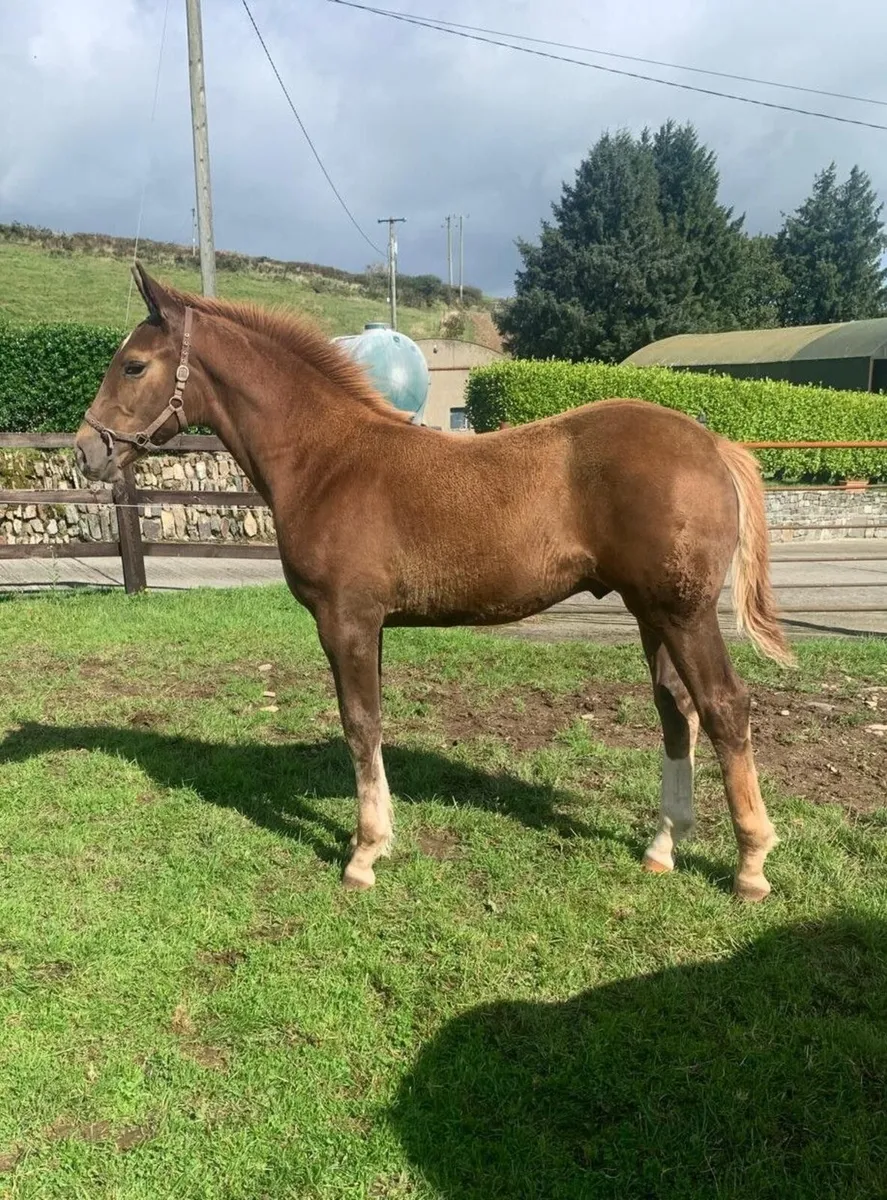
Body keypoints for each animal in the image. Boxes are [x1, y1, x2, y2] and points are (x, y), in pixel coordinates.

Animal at [75, 264, 794, 902]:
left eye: (133, 364)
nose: (87, 452)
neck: (326, 460)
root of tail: (713, 444)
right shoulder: (371, 625)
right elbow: (371, 723)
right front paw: (382, 839)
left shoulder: (345, 620)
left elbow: (359, 723)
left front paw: (363, 855)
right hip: (652, 613)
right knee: (677, 711)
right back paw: (662, 847)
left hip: (684, 613)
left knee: (725, 706)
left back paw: (751, 866)